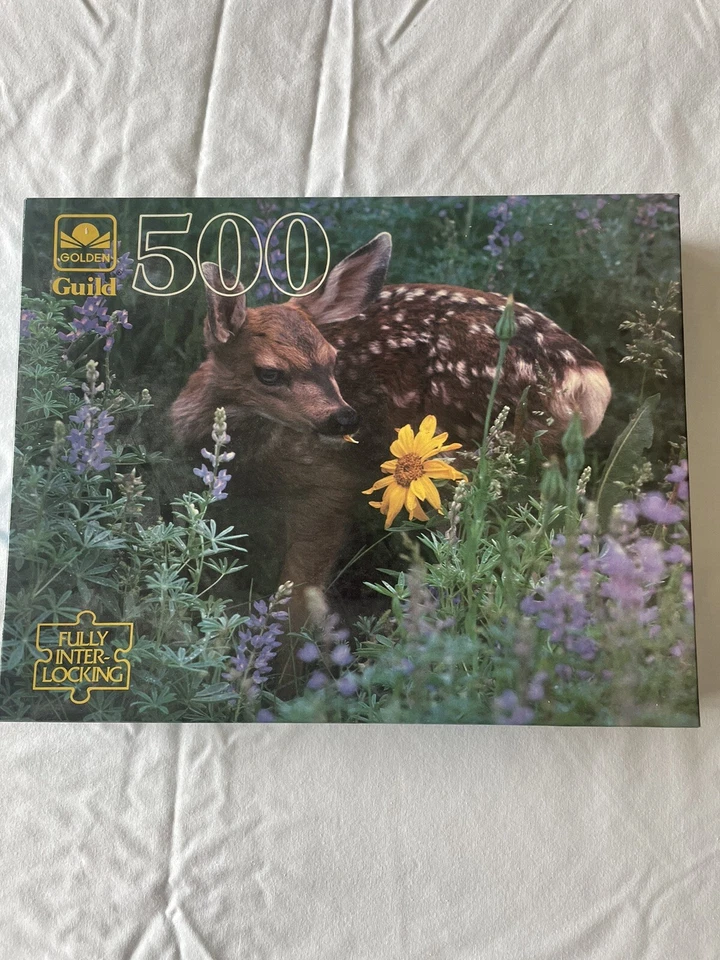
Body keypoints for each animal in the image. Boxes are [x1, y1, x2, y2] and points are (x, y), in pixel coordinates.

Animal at [171, 232, 611, 673]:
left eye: (333, 360)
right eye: (268, 373)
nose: (345, 418)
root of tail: (587, 378)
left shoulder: (329, 484)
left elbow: (297, 598)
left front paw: (279, 675)